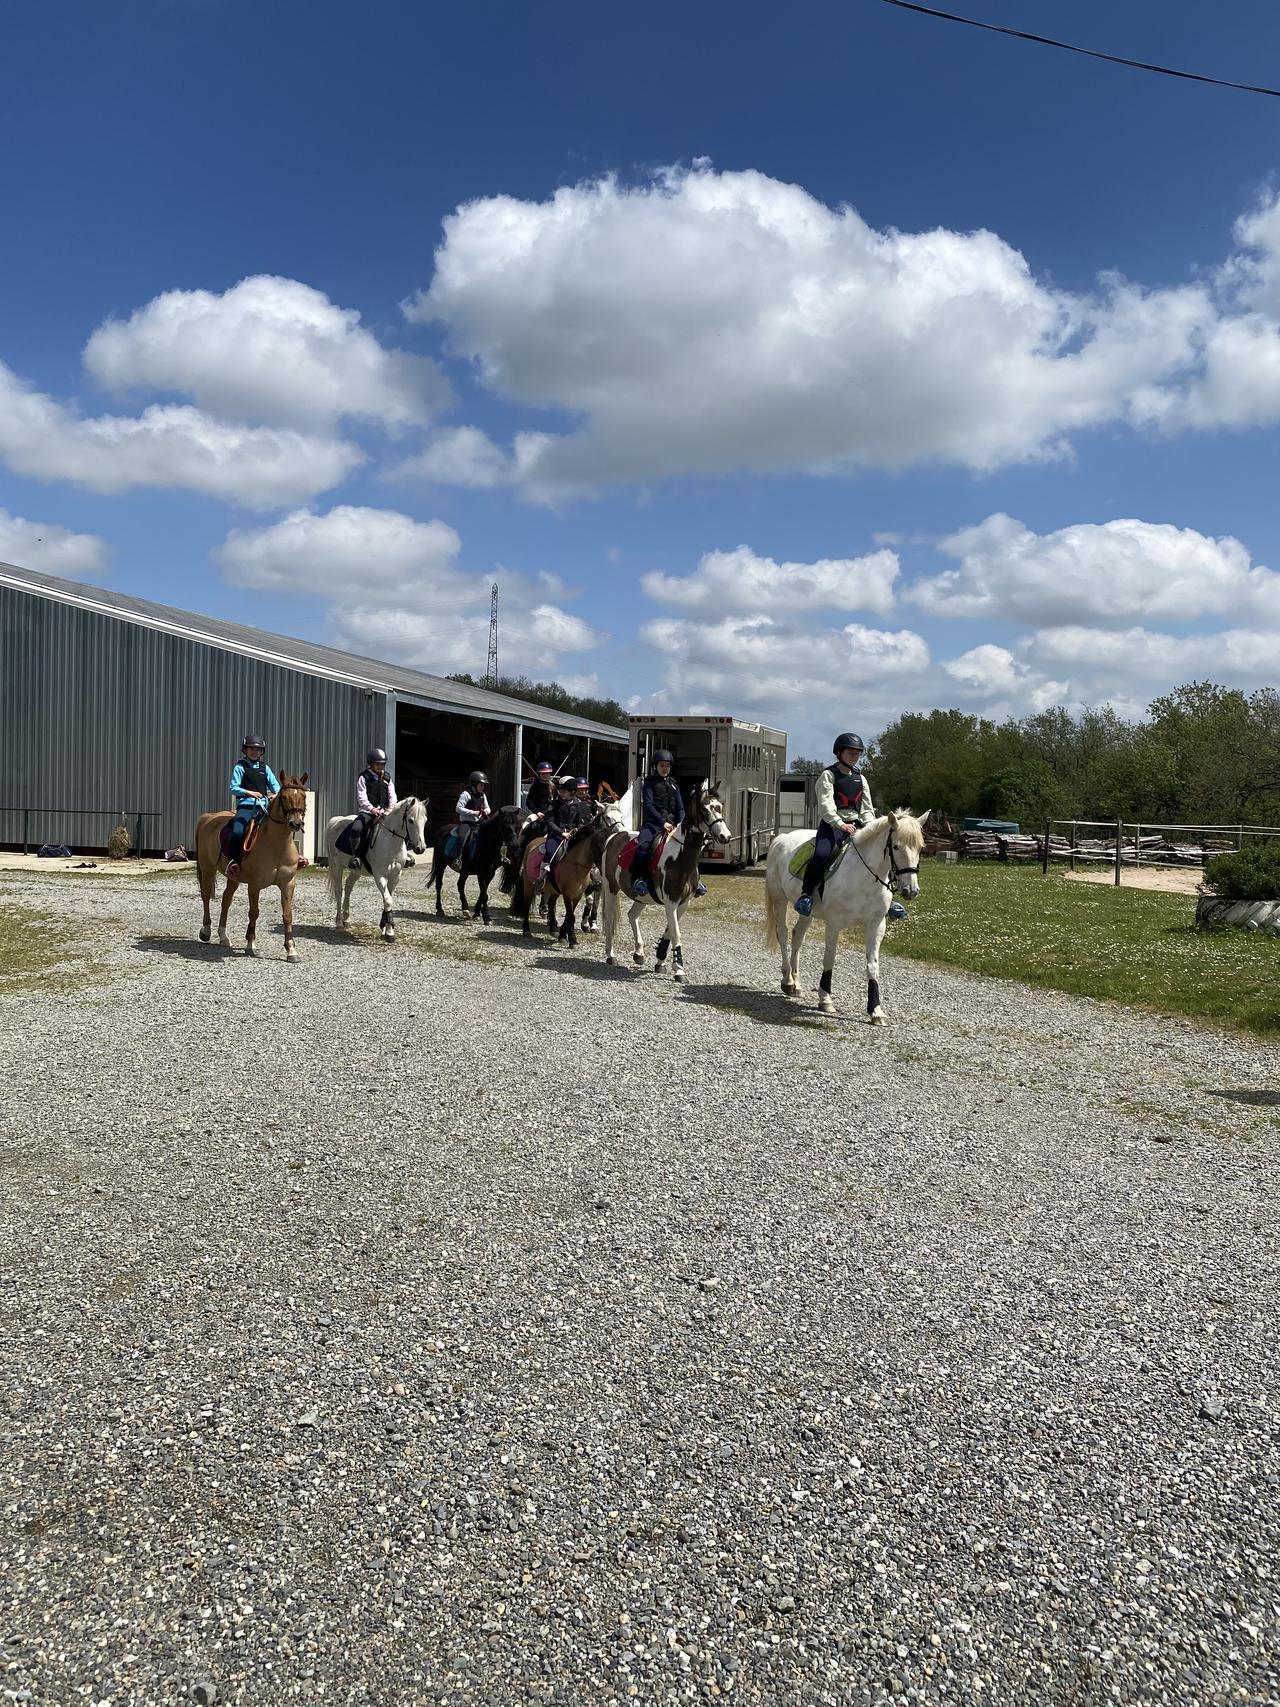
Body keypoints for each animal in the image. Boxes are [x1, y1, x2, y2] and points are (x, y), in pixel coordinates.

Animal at [197, 774, 314, 962]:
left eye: (303, 797)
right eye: (284, 797)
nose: (296, 823)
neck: (276, 845)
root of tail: (208, 817)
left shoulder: (288, 883)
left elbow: (287, 916)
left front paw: (291, 950)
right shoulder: (254, 885)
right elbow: (254, 912)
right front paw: (250, 945)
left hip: (233, 877)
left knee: (226, 900)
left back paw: (223, 937)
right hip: (208, 870)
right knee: (206, 896)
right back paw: (206, 931)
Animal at [325, 792, 431, 942]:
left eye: (425, 821)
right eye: (410, 820)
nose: (420, 848)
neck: (391, 842)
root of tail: (335, 821)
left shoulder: (395, 876)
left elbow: (388, 899)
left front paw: (385, 928)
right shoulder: (379, 875)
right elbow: (388, 900)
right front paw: (390, 932)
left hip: (356, 870)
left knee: (349, 886)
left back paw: (346, 919)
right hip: (336, 867)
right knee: (339, 891)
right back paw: (339, 922)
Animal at [600, 781, 730, 983]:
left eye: (719, 807)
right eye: (704, 809)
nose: (726, 836)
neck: (681, 858)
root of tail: (614, 837)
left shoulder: (683, 903)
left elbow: (670, 930)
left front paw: (661, 960)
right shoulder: (671, 902)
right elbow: (676, 932)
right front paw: (679, 970)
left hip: (642, 897)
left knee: (632, 915)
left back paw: (639, 953)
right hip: (610, 888)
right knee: (609, 919)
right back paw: (610, 955)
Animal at [761, 809, 935, 1010]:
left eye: (920, 848)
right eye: (896, 847)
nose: (911, 891)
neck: (865, 878)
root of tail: (782, 837)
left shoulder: (876, 925)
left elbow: (873, 965)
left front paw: (875, 1009)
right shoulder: (834, 924)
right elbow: (829, 958)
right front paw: (825, 999)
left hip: (807, 912)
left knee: (798, 936)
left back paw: (796, 985)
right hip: (779, 900)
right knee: (783, 933)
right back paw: (787, 981)